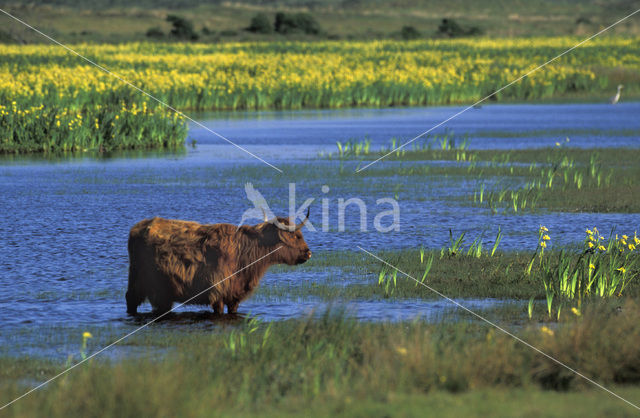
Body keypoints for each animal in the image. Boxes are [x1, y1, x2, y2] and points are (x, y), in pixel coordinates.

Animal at [126, 211, 312, 316]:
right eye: (297, 236)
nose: (308, 253)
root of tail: (139, 226)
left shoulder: (235, 295)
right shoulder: (217, 293)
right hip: (141, 283)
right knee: (131, 300)